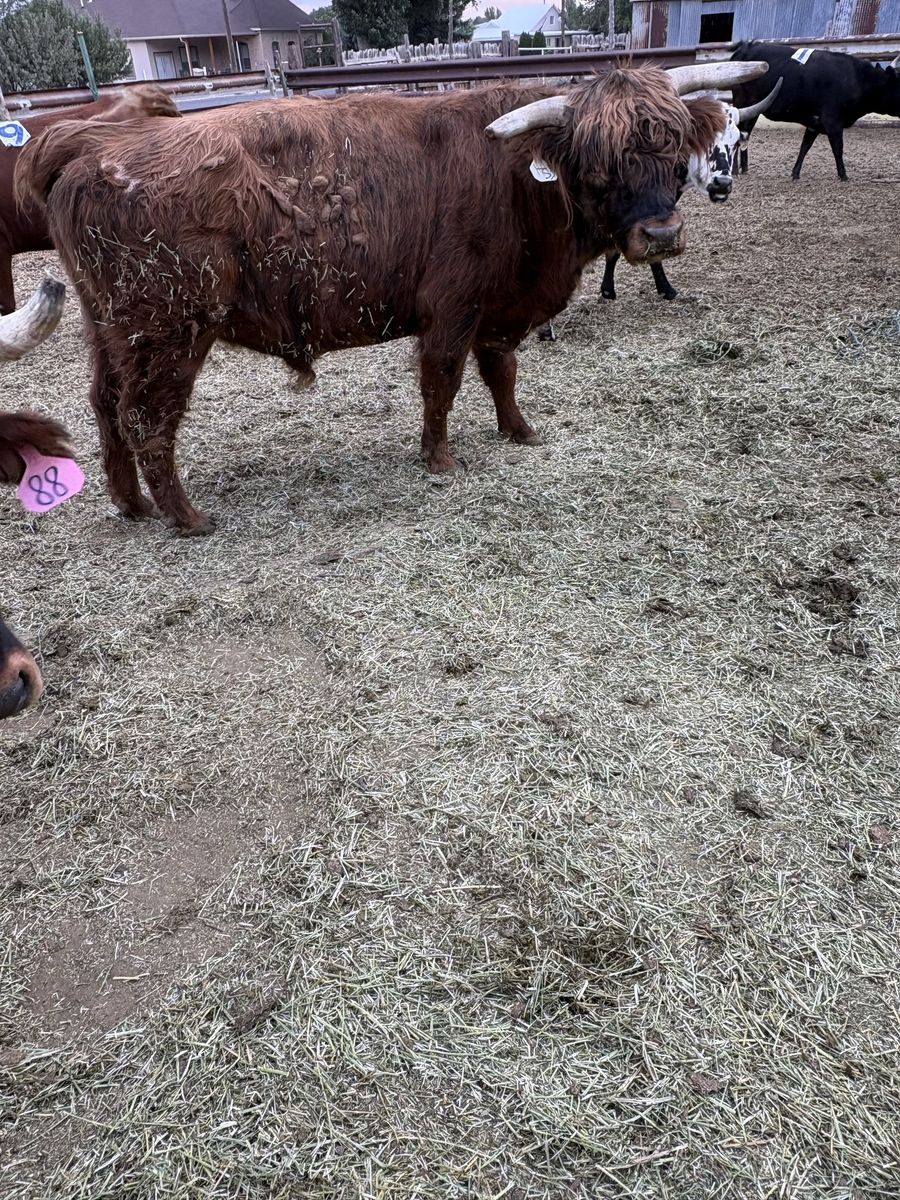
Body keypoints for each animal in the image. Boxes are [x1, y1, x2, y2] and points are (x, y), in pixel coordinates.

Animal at [731, 40, 900, 180]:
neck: (859, 80)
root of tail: (746, 46)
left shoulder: (815, 124)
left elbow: (805, 147)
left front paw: (795, 173)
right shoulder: (833, 122)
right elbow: (838, 149)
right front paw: (843, 175)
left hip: (754, 110)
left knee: (745, 134)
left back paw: (744, 168)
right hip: (742, 104)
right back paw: (735, 171)